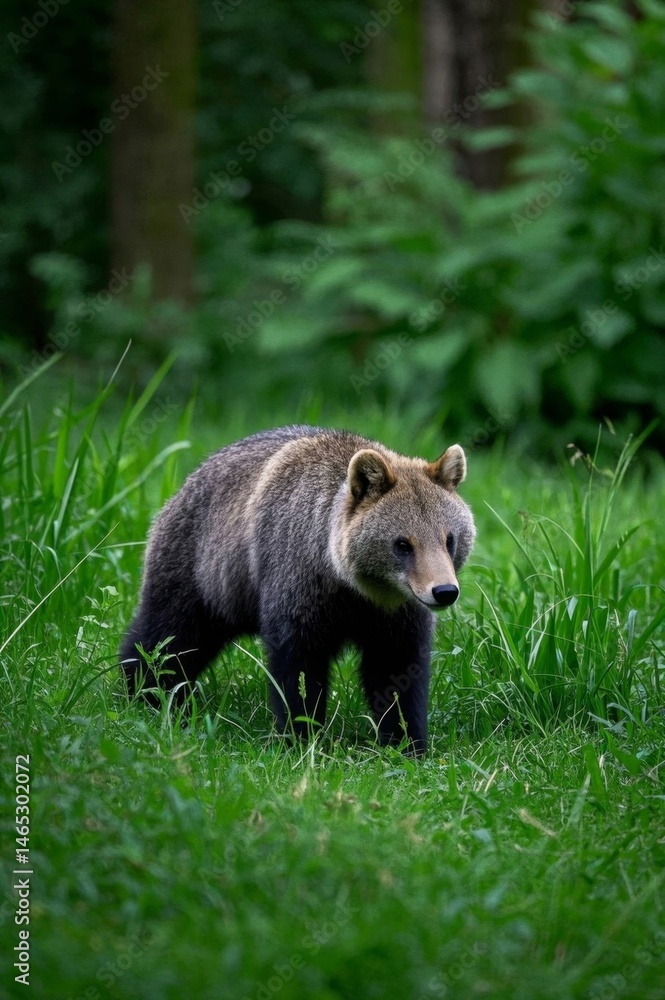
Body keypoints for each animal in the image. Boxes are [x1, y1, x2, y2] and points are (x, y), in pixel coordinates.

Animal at [119, 425, 475, 755]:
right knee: (170, 635)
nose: (444, 591)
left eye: (449, 538)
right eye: (403, 544)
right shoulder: (299, 586)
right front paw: (300, 735)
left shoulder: (396, 614)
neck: (356, 586)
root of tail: (191, 478)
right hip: (202, 571)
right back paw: (144, 691)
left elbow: (396, 672)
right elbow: (299, 669)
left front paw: (405, 741)